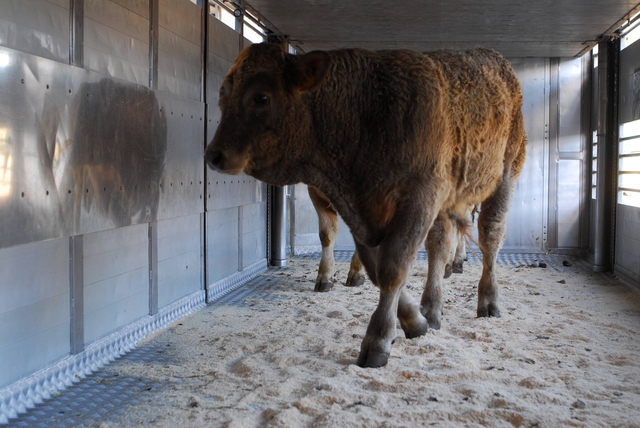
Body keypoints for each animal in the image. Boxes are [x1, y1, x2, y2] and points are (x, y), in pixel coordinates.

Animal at [205, 42, 524, 368]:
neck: (363, 111)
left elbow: (393, 268)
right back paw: (432, 309)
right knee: (440, 246)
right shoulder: (360, 211)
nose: (214, 155)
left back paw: (488, 301)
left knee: (489, 237)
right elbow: (374, 267)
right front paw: (415, 320)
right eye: (223, 93)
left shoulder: (419, 199)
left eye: (261, 97)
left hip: (505, 176)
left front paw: (378, 341)